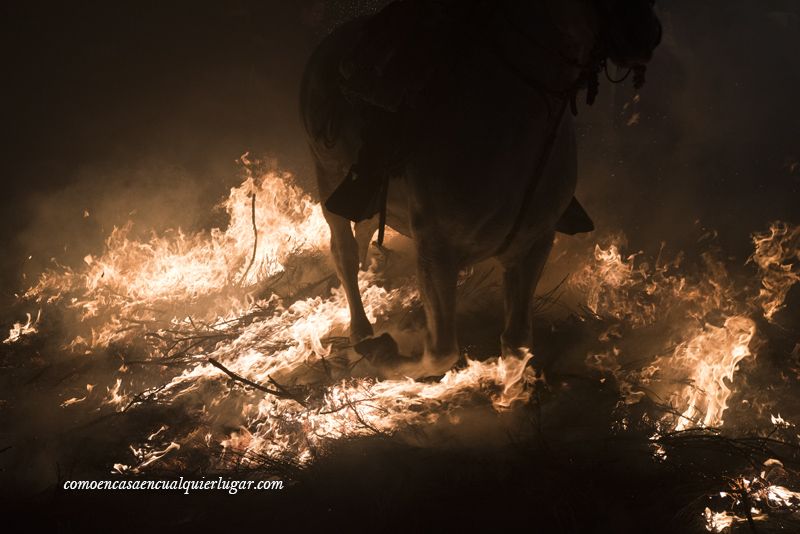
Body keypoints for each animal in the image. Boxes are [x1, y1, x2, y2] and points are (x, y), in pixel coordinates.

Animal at [300, 0, 664, 378]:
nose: (644, 34)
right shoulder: (436, 249)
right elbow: (441, 352)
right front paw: (382, 352)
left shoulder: (533, 243)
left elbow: (517, 345)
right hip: (328, 178)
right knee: (344, 252)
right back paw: (361, 330)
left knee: (364, 230)